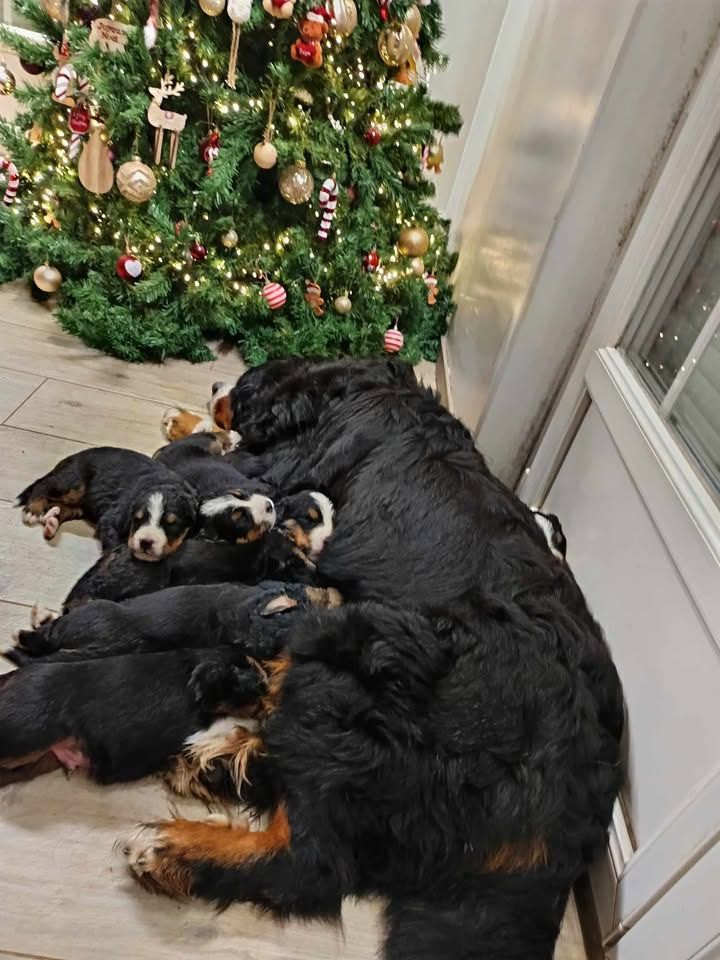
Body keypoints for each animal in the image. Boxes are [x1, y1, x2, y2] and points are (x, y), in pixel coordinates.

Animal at [16, 450, 197, 564]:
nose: (146, 542)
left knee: (63, 507)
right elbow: (113, 545)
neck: (162, 484)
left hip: (81, 504)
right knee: (43, 486)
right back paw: (32, 511)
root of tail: (71, 457)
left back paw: (52, 522)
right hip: (73, 483)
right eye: (137, 519)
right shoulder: (113, 519)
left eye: (171, 523)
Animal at [125, 360, 624, 960]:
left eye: (244, 385)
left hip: (365, 664)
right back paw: (218, 759)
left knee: (307, 860)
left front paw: (193, 423)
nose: (218, 385)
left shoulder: (281, 471)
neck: (347, 391)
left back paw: (172, 846)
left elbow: (239, 459)